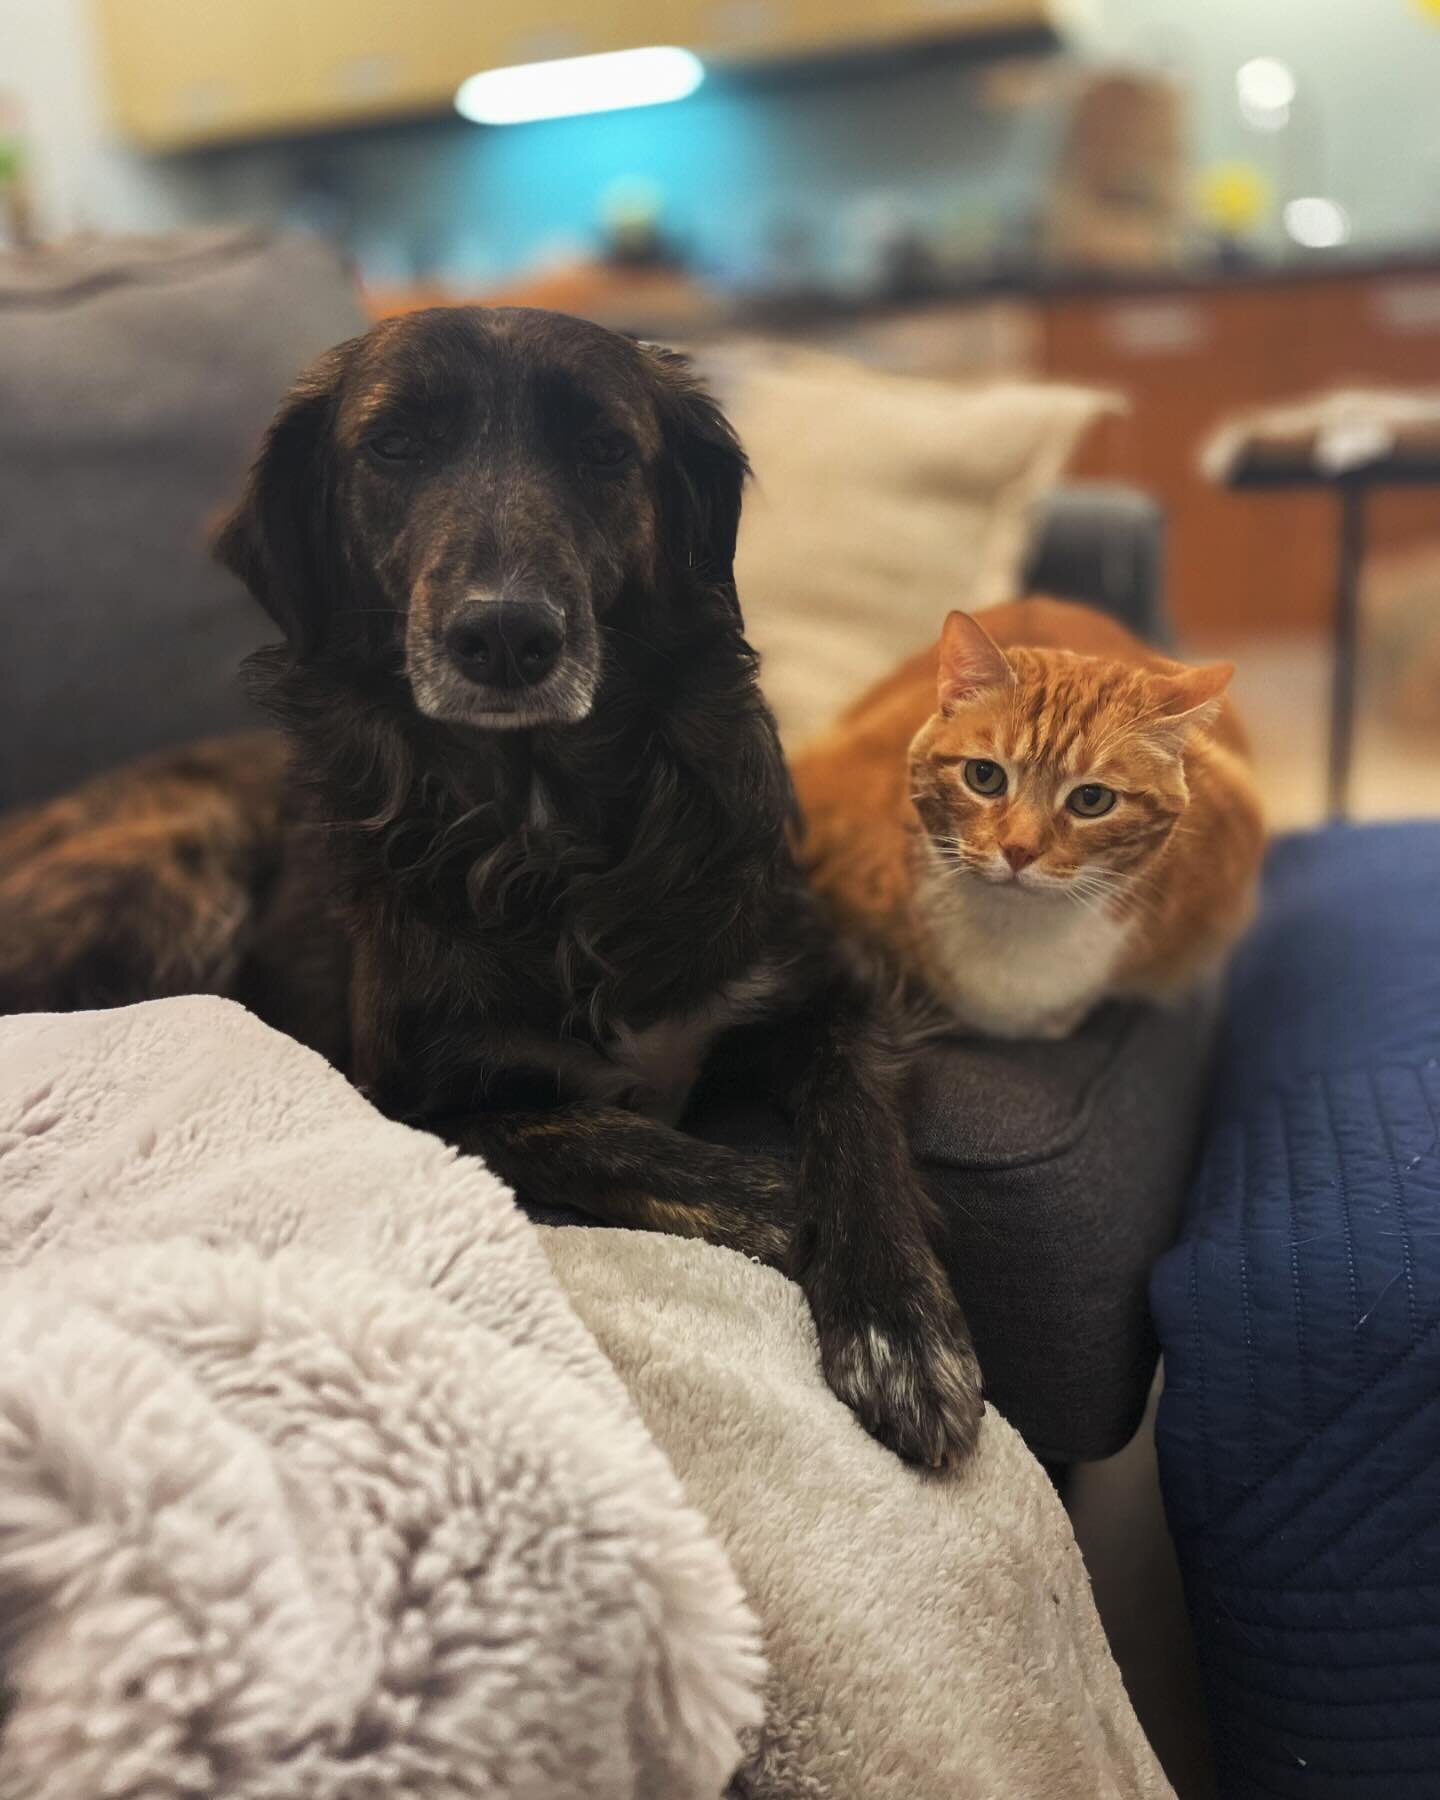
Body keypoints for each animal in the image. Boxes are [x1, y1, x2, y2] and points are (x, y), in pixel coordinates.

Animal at [2, 306, 979, 1461]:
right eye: (393, 446)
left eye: (604, 449)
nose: (506, 635)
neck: (549, 829)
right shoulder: (417, 1099)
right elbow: (613, 1139)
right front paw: (786, 1205)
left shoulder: (836, 996)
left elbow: (858, 1133)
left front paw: (897, 1320)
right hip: (174, 886)